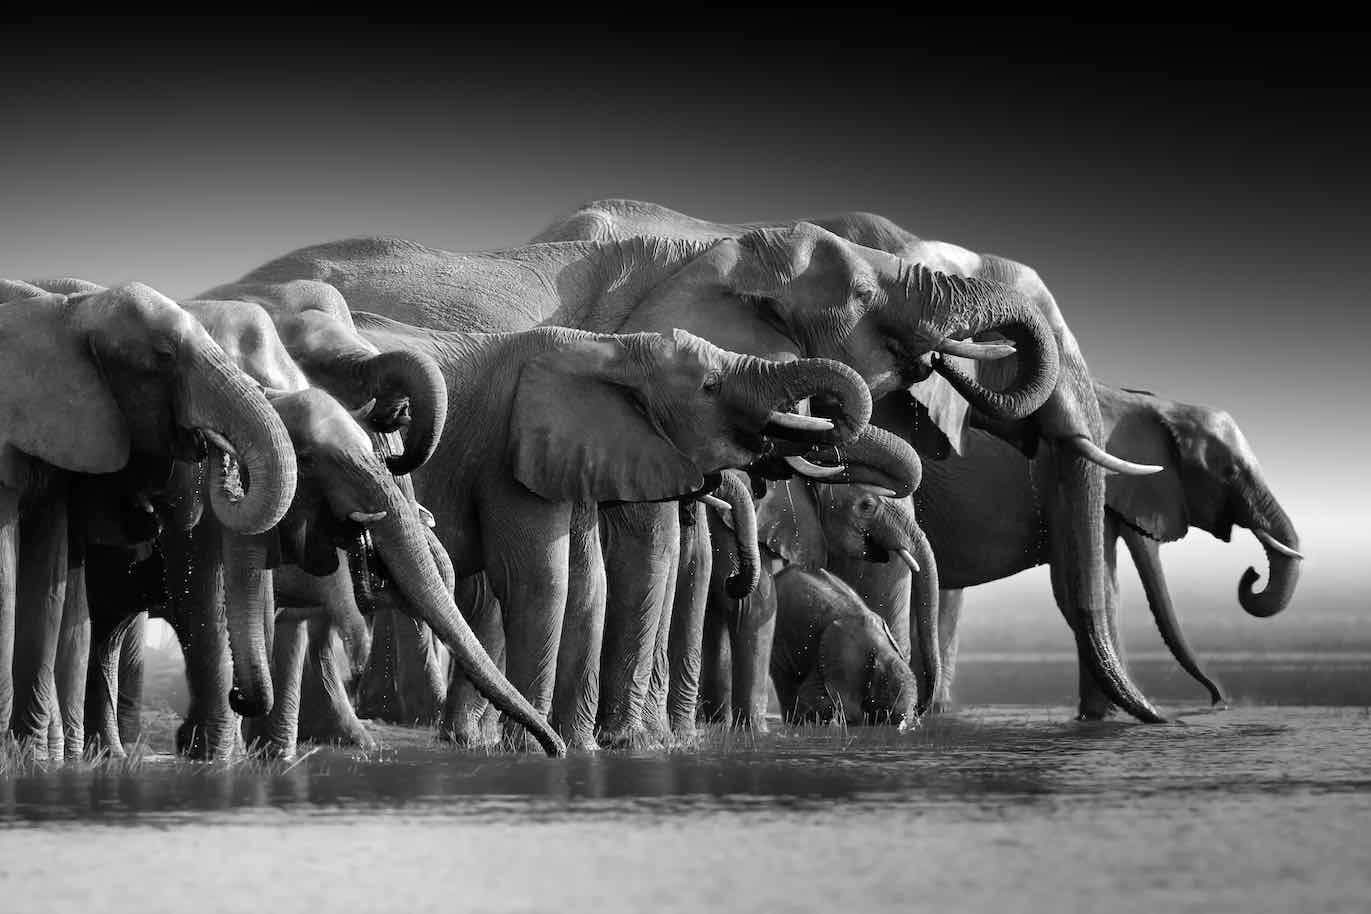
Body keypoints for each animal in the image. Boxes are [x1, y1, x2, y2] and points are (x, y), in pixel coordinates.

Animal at [236, 217, 1062, 744]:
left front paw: (640, 741)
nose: (954, 367)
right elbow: (632, 550)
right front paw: (631, 744)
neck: (702, 252)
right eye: (861, 296)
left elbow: (653, 556)